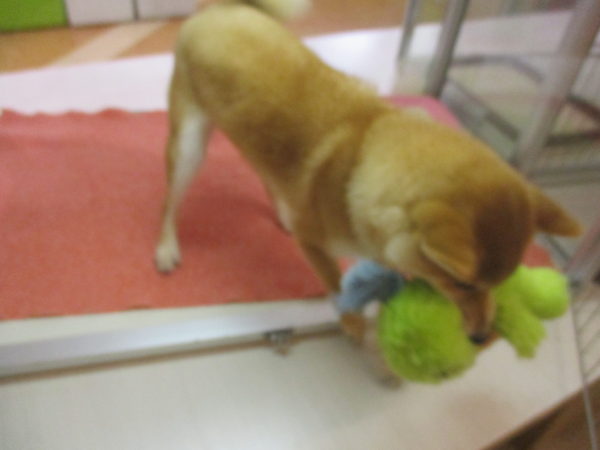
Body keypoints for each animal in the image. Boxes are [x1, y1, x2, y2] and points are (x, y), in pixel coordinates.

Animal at [155, 0, 581, 346]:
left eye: (501, 282)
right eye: (461, 282)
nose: (480, 337)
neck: (363, 152)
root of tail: (221, 10)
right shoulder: (315, 244)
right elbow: (335, 282)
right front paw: (352, 320)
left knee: (264, 170)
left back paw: (282, 210)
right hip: (189, 145)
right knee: (170, 202)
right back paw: (166, 246)